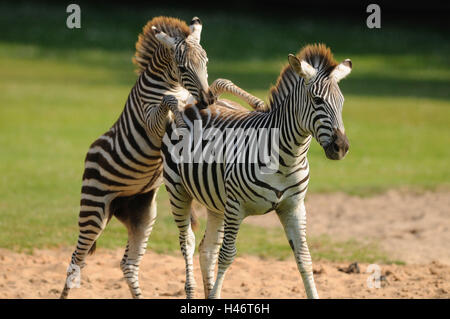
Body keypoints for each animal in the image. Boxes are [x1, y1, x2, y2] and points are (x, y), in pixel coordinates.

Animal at [58, 15, 266, 300]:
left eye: (206, 61)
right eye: (182, 66)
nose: (208, 101)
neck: (172, 84)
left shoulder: (195, 98)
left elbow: (220, 81)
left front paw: (257, 103)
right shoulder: (152, 123)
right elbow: (169, 102)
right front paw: (180, 121)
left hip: (141, 213)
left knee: (128, 263)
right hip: (93, 210)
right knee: (75, 260)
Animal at [160, 43, 354, 298]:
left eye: (341, 102)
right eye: (317, 100)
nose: (341, 147)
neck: (287, 159)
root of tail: (195, 103)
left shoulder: (294, 206)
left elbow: (304, 257)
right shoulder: (236, 206)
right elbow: (227, 256)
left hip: (216, 203)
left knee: (207, 250)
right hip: (178, 190)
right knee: (188, 243)